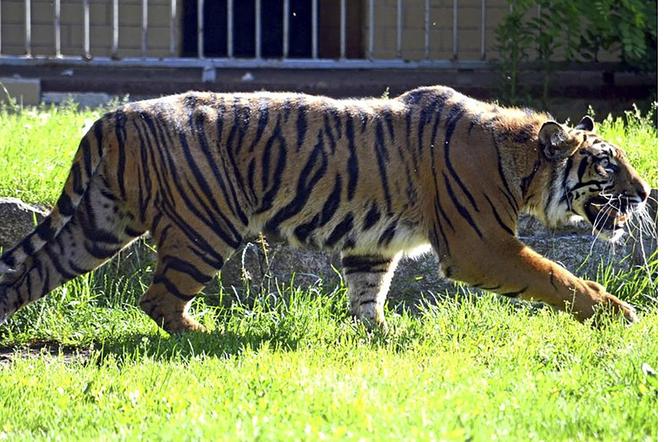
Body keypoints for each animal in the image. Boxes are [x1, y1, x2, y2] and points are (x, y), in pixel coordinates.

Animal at [0, 85, 648, 332]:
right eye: (609, 164)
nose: (646, 195)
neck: (519, 163)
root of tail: (113, 115)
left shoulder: (371, 246)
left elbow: (369, 294)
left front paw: (379, 336)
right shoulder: (481, 246)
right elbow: (558, 276)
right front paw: (620, 314)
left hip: (99, 224)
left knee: (30, 273)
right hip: (203, 230)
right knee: (157, 298)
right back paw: (202, 337)